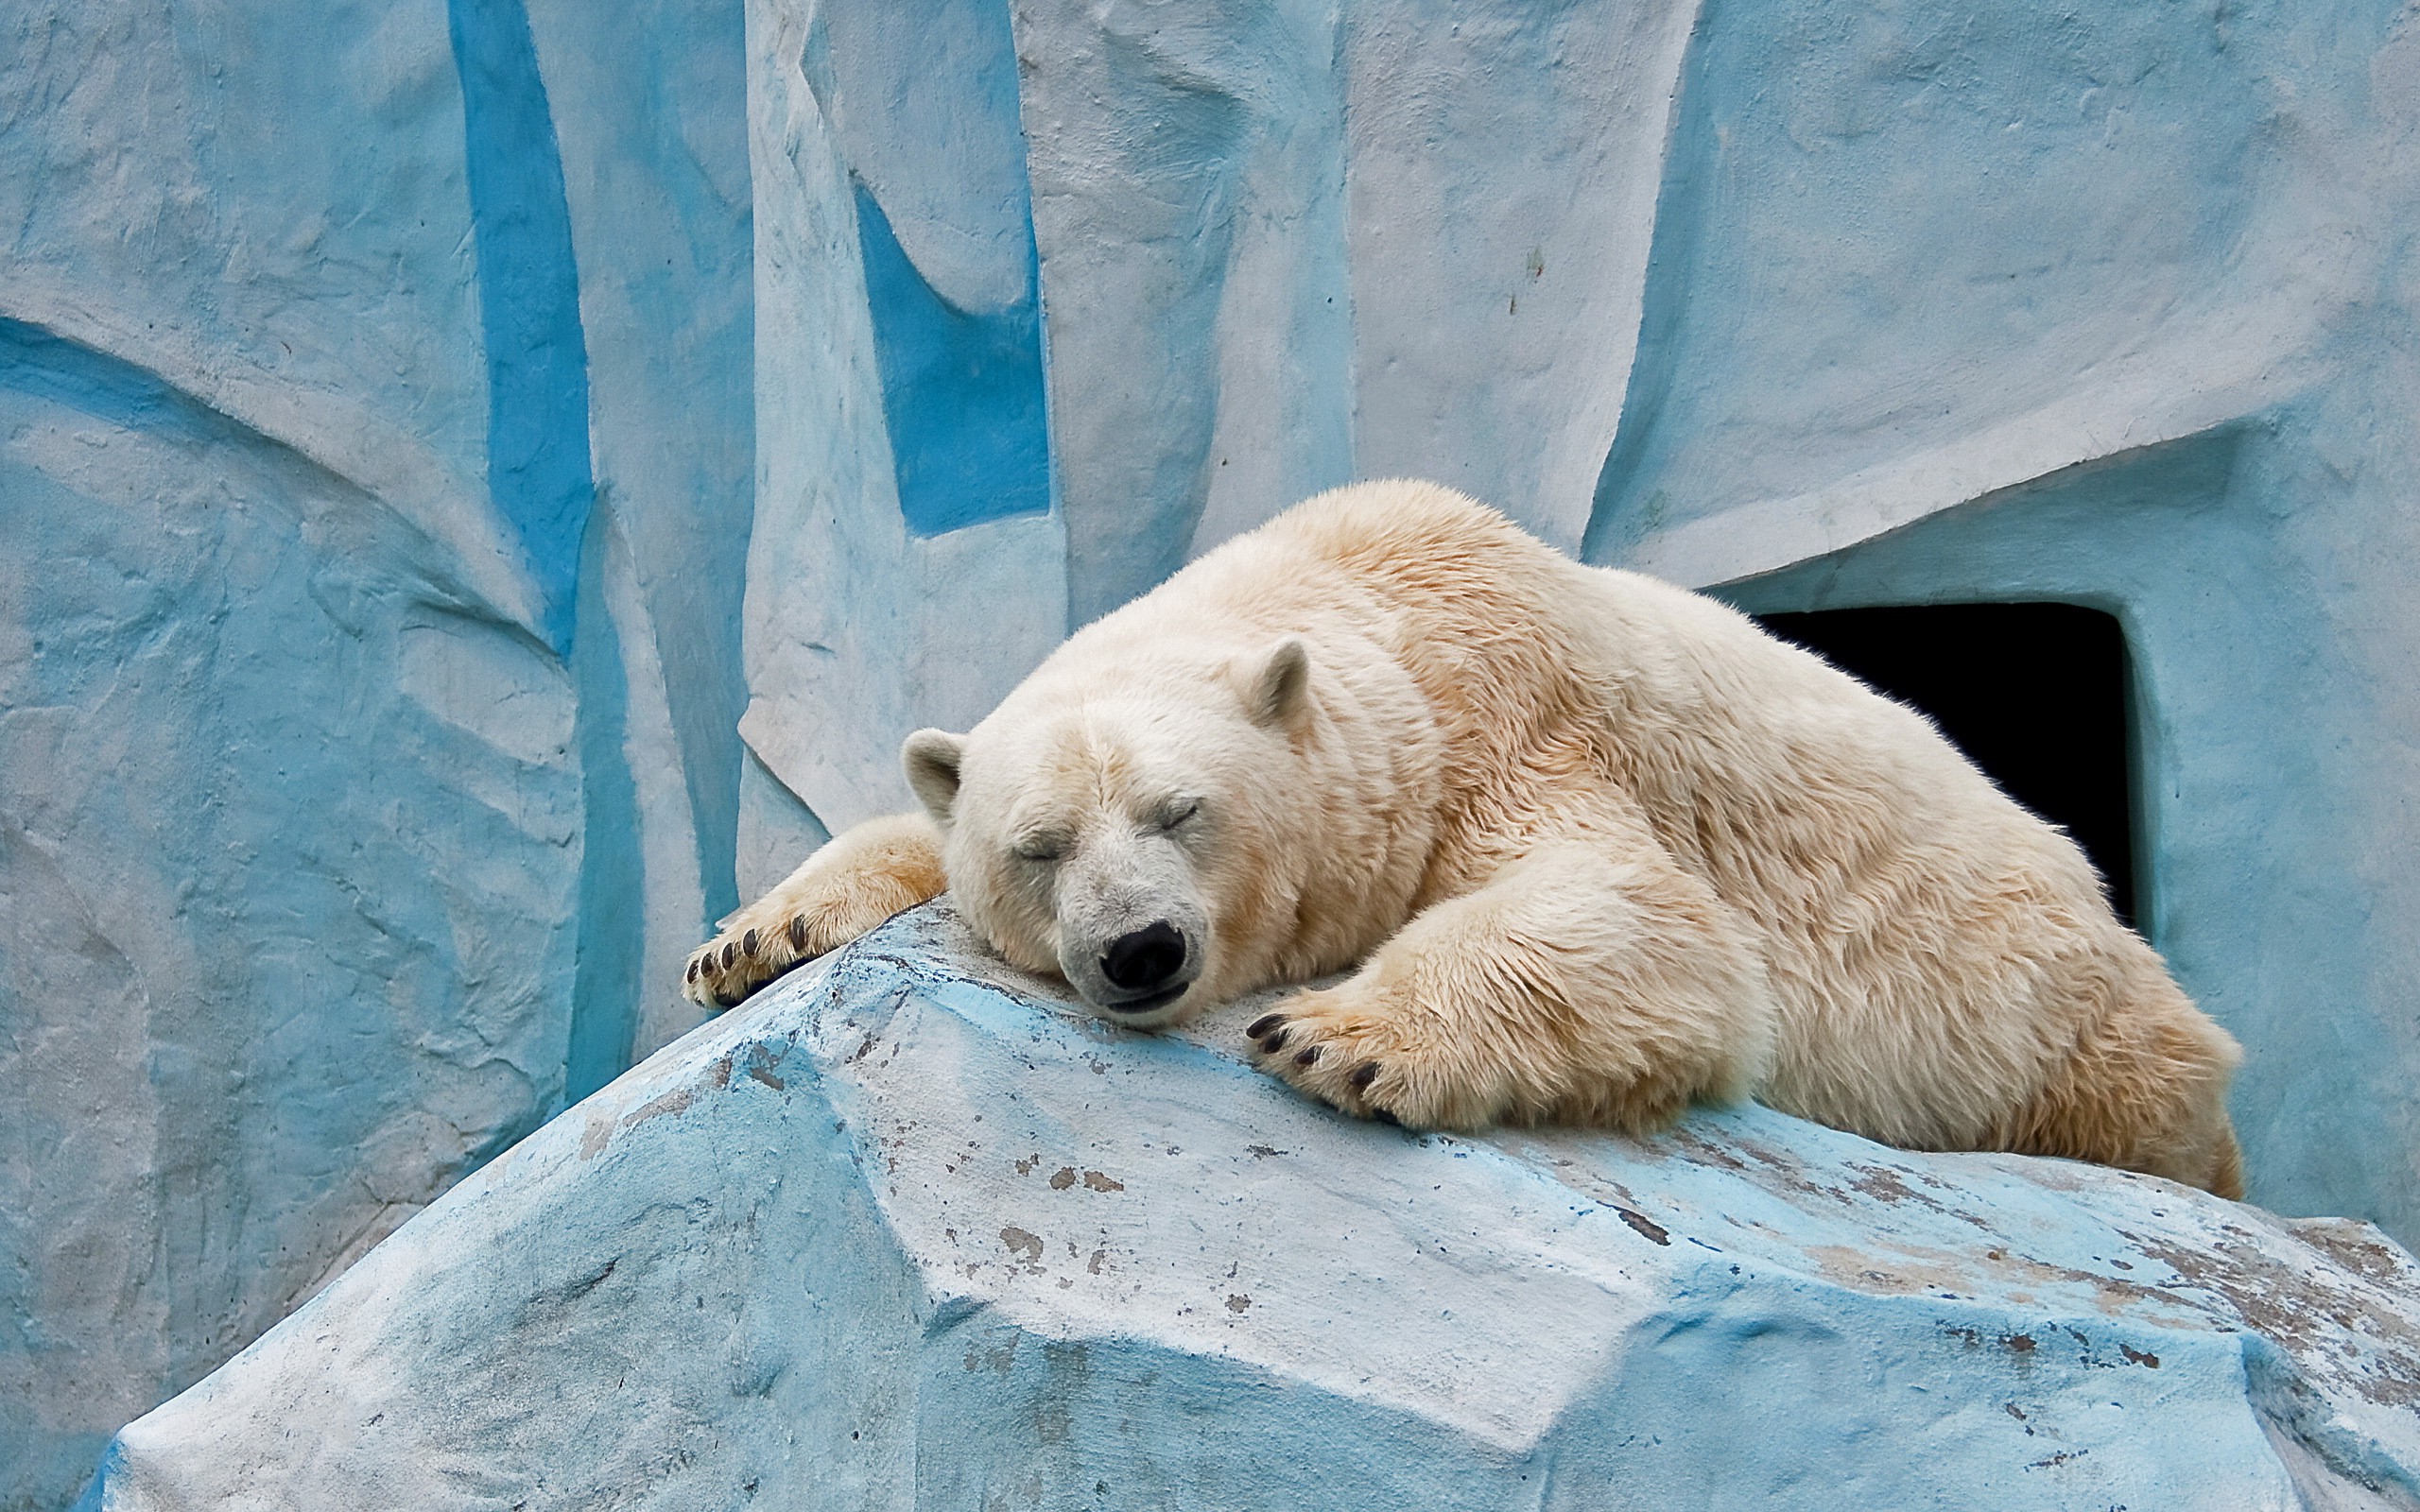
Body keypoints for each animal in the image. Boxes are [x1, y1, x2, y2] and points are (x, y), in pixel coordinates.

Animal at [687, 480, 2246, 1197]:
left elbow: (1648, 918)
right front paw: (748, 939)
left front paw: (1339, 1036)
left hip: (2062, 1026)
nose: (1139, 953)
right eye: (1041, 845)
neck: (1362, 592)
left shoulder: (1512, 723)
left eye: (1183, 810)